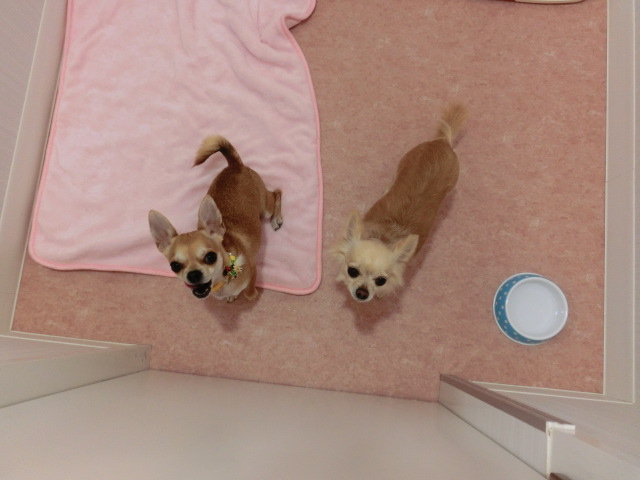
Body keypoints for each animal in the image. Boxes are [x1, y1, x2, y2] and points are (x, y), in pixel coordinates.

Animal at [148, 136, 283, 302]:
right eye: (175, 266)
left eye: (210, 257)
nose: (193, 274)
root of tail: (235, 165)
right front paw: (232, 296)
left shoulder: (252, 268)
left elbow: (249, 292)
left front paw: (247, 294)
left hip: (265, 208)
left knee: (277, 193)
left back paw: (276, 219)